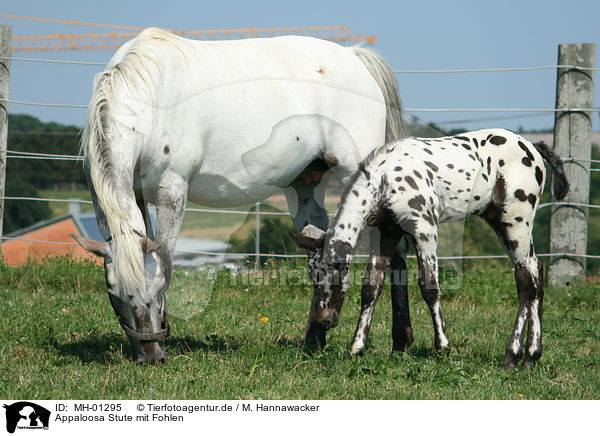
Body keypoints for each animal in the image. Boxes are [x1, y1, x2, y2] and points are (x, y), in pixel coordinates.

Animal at [72, 28, 406, 364]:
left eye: (154, 293)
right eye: (115, 297)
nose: (150, 355)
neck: (150, 97)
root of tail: (355, 57)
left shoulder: (172, 191)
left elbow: (165, 260)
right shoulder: (136, 196)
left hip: (360, 180)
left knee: (386, 255)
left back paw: (379, 344)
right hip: (305, 188)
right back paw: (320, 340)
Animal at [292, 129, 568, 368]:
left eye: (335, 272)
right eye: (312, 277)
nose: (323, 319)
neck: (386, 178)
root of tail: (532, 147)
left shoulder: (424, 230)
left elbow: (430, 288)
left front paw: (442, 347)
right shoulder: (387, 233)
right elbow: (371, 288)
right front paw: (356, 348)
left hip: (516, 221)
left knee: (525, 283)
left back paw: (512, 356)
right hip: (500, 223)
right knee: (535, 275)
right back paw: (532, 356)